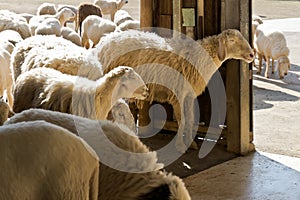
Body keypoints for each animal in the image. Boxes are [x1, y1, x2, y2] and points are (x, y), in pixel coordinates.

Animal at [94, 28, 253, 153]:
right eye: (231, 40)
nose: (252, 55)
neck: (199, 58)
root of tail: (104, 41)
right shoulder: (178, 94)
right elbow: (182, 121)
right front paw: (181, 146)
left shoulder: (189, 95)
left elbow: (190, 120)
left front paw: (191, 143)